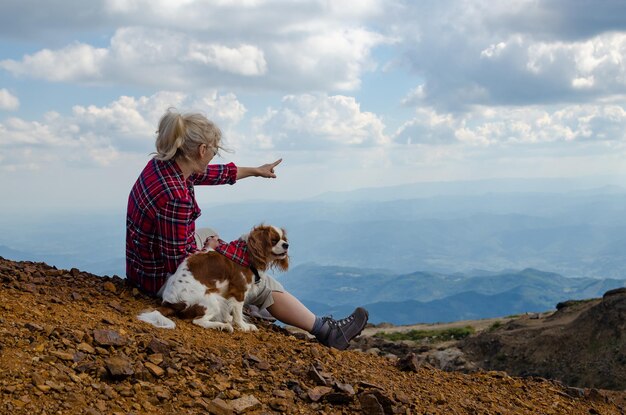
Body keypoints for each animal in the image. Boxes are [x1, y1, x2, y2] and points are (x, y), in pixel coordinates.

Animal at [136, 226, 288, 334]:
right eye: (274, 240)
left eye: (283, 238)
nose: (286, 245)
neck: (245, 253)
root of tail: (169, 303)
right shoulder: (239, 290)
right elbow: (238, 312)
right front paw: (243, 326)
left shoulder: (226, 291)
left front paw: (229, 318)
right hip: (211, 300)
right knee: (198, 321)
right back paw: (223, 326)